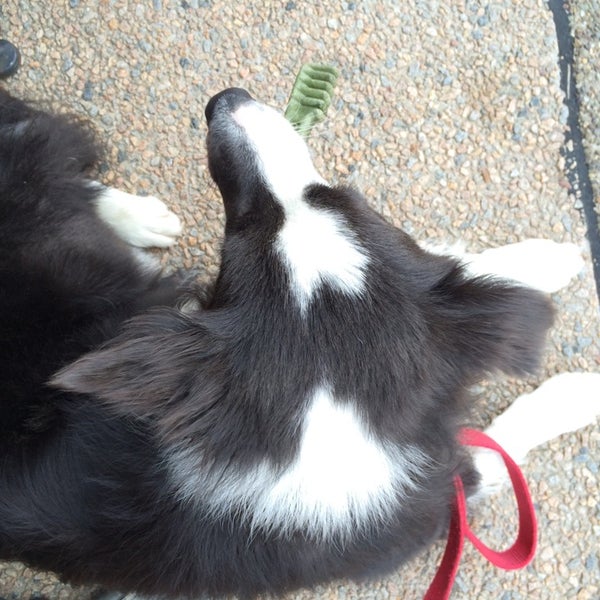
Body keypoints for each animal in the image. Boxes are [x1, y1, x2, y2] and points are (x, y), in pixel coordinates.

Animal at [1, 85, 600, 600]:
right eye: (241, 227)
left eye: (328, 195)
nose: (225, 101)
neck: (307, 430)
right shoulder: (429, 503)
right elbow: (501, 445)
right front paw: (578, 392)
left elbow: (454, 267)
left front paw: (544, 261)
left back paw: (139, 217)